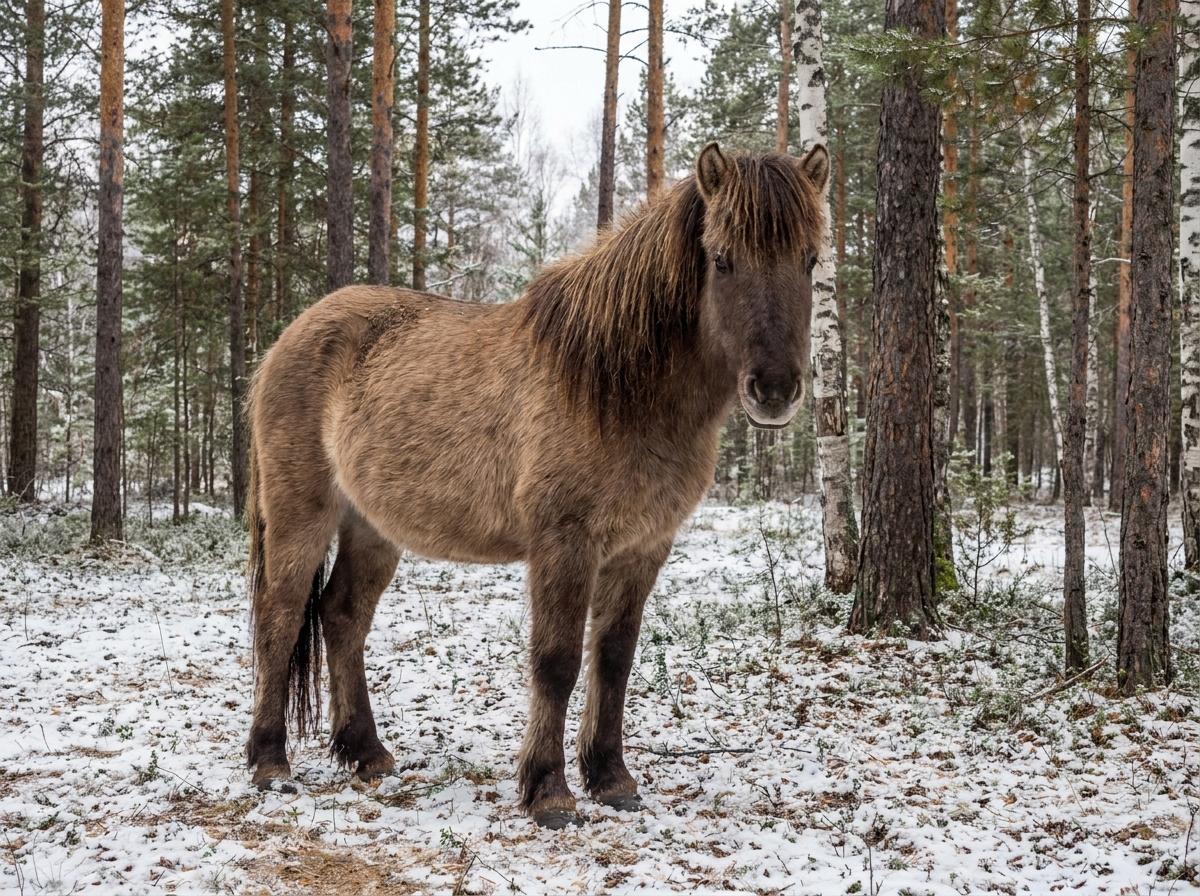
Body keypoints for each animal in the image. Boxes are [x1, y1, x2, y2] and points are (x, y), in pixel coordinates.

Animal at [244, 141, 829, 828]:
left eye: (810, 260)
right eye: (722, 258)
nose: (775, 389)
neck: (615, 387)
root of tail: (287, 338)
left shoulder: (642, 548)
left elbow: (614, 659)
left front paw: (611, 778)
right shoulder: (563, 543)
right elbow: (556, 662)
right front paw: (548, 791)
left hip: (372, 528)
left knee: (342, 616)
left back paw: (366, 753)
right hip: (301, 514)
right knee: (281, 618)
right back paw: (269, 763)